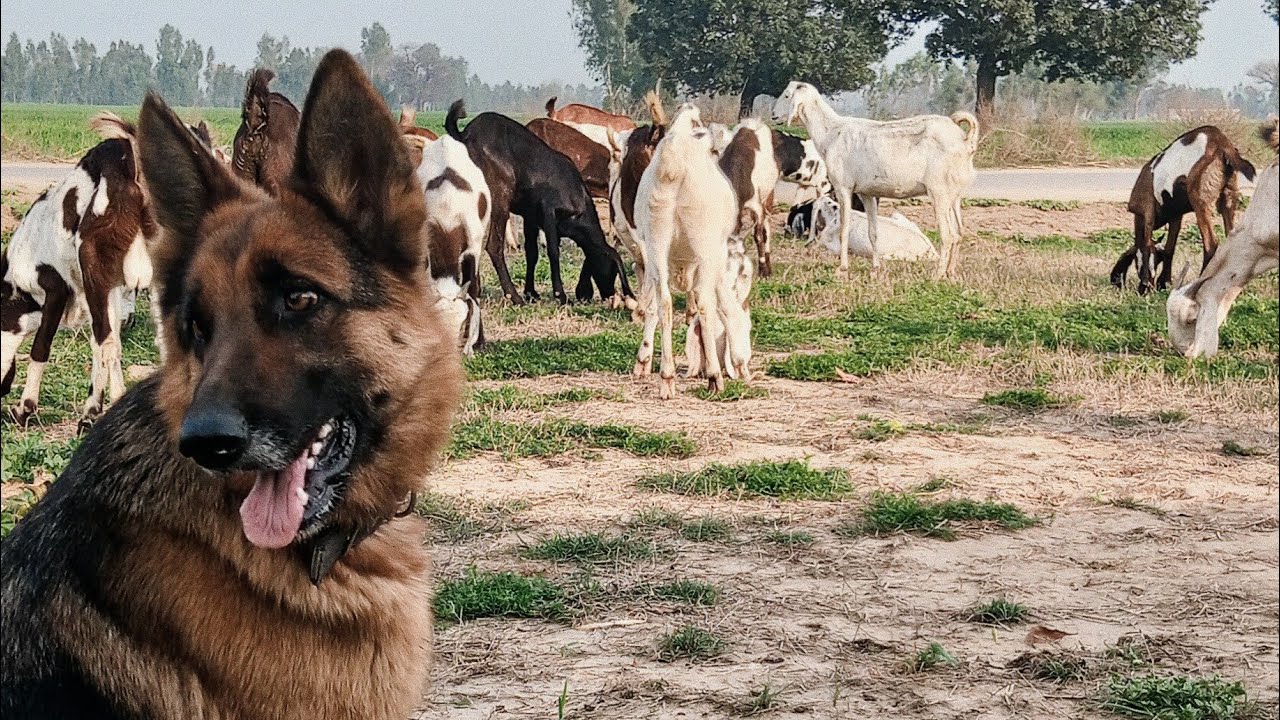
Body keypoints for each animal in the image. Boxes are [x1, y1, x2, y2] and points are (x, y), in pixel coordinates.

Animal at [2, 113, 156, 426]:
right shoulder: (111, 287)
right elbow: (106, 342)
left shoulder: (57, 289)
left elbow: (42, 346)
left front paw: (25, 407)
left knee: (107, 343)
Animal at [445, 101, 634, 307]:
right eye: (613, 270)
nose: (609, 294)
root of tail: (467, 136)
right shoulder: (548, 212)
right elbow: (553, 251)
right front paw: (560, 295)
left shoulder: (531, 217)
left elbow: (532, 252)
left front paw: (532, 292)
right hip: (499, 199)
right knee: (493, 245)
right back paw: (513, 296)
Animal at [632, 106, 751, 399]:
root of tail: (674, 156)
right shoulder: (717, 259)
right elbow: (725, 309)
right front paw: (738, 366)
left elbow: (651, 305)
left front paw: (643, 361)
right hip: (704, 243)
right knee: (705, 303)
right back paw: (714, 377)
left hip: (657, 239)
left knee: (664, 302)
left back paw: (667, 377)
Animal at [772, 81, 977, 278]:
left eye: (787, 95)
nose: (773, 115)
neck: (831, 132)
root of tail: (965, 140)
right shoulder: (867, 193)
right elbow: (873, 232)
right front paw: (875, 268)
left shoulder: (843, 187)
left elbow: (844, 229)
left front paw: (843, 268)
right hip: (954, 194)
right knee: (959, 232)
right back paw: (951, 272)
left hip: (939, 192)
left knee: (948, 235)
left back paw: (938, 274)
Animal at [1110, 126, 1256, 295]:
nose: (1148, 285)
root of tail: (1222, 144)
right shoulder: (1176, 216)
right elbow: (1169, 247)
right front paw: (1164, 283)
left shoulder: (1147, 212)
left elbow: (1146, 245)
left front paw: (1147, 287)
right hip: (1228, 197)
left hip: (1200, 201)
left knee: (1211, 244)